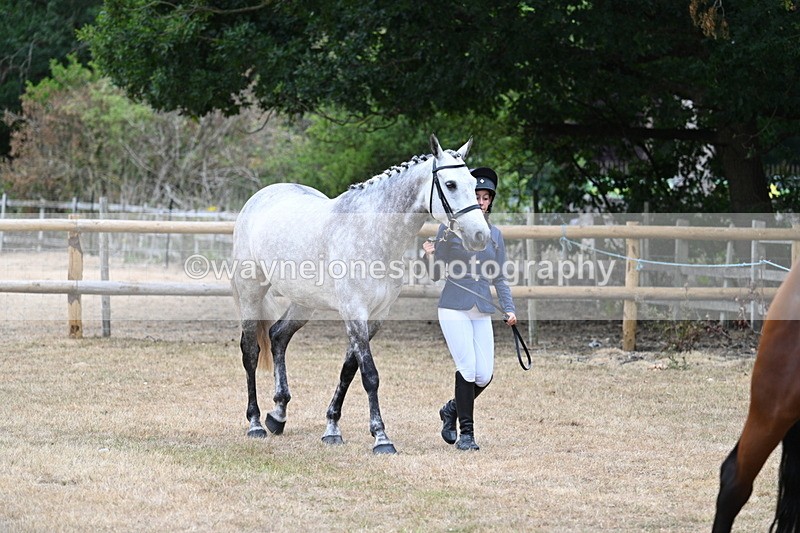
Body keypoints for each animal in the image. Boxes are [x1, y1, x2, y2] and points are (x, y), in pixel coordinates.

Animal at [230, 135, 490, 454]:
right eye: (451, 184)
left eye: (473, 182)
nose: (480, 236)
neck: (372, 232)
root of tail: (260, 196)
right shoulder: (355, 313)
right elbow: (369, 375)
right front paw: (381, 437)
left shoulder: (376, 317)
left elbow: (349, 370)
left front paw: (332, 428)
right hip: (251, 291)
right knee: (251, 351)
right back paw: (255, 422)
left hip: (304, 302)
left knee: (278, 336)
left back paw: (277, 415)